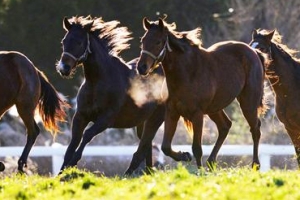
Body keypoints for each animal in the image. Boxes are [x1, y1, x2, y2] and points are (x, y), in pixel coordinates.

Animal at [56, 16, 166, 175]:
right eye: (64, 41)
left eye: (79, 42)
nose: (64, 68)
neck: (97, 82)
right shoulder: (80, 116)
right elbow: (73, 143)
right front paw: (61, 172)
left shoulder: (107, 118)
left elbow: (87, 134)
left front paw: (73, 162)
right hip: (142, 121)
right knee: (147, 145)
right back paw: (148, 172)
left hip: (157, 117)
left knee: (145, 145)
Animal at [137, 17, 266, 170]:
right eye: (143, 40)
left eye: (158, 41)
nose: (141, 67)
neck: (186, 73)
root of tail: (254, 51)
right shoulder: (172, 112)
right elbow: (166, 147)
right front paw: (184, 155)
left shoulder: (197, 114)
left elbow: (197, 148)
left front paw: (200, 171)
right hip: (215, 108)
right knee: (225, 126)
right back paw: (211, 162)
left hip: (248, 103)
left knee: (255, 129)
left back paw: (255, 164)